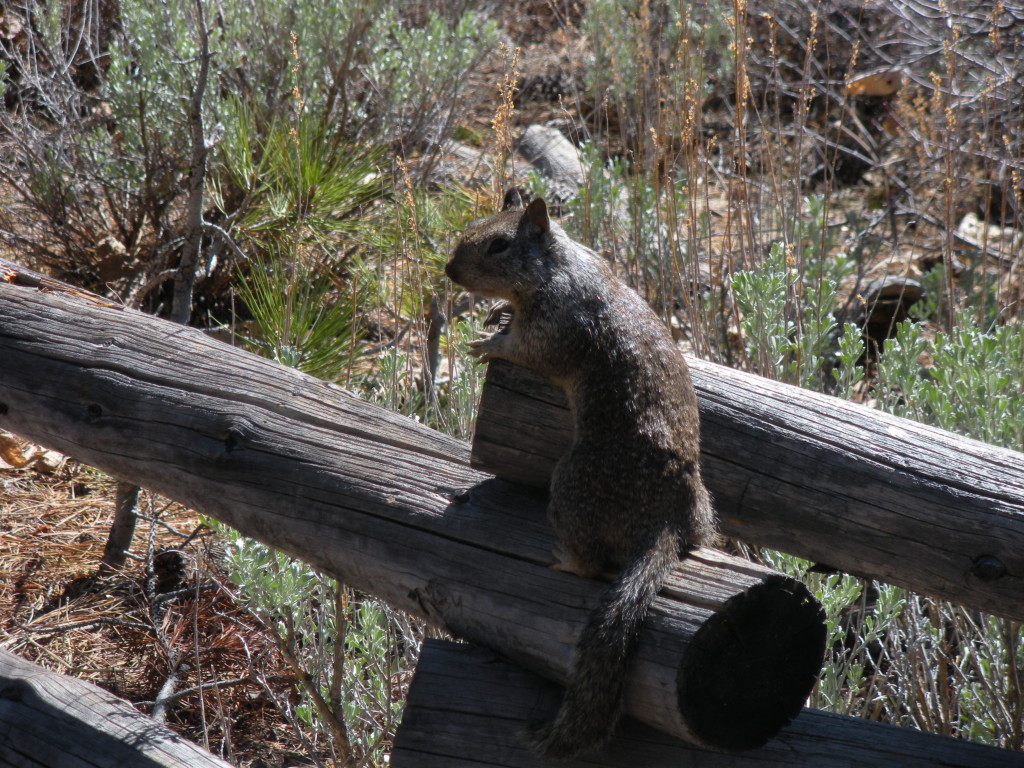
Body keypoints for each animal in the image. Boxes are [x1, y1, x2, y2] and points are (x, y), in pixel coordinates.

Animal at [444, 189, 716, 761]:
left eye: (499, 245)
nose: (450, 270)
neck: (556, 268)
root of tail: (668, 523)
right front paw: (497, 312)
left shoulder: (556, 328)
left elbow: (526, 350)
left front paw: (488, 344)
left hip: (572, 483)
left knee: (593, 564)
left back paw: (565, 559)